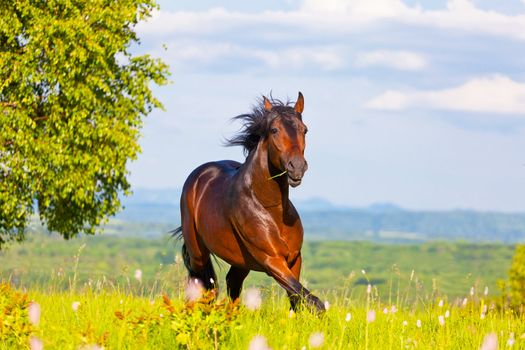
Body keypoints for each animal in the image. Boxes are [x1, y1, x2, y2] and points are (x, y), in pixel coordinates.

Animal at [174, 92, 326, 312]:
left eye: (304, 129)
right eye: (274, 130)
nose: (297, 167)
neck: (271, 209)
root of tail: (198, 175)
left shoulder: (294, 259)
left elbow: (297, 298)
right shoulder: (272, 260)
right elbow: (312, 300)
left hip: (240, 261)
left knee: (232, 283)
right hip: (198, 254)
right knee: (201, 285)